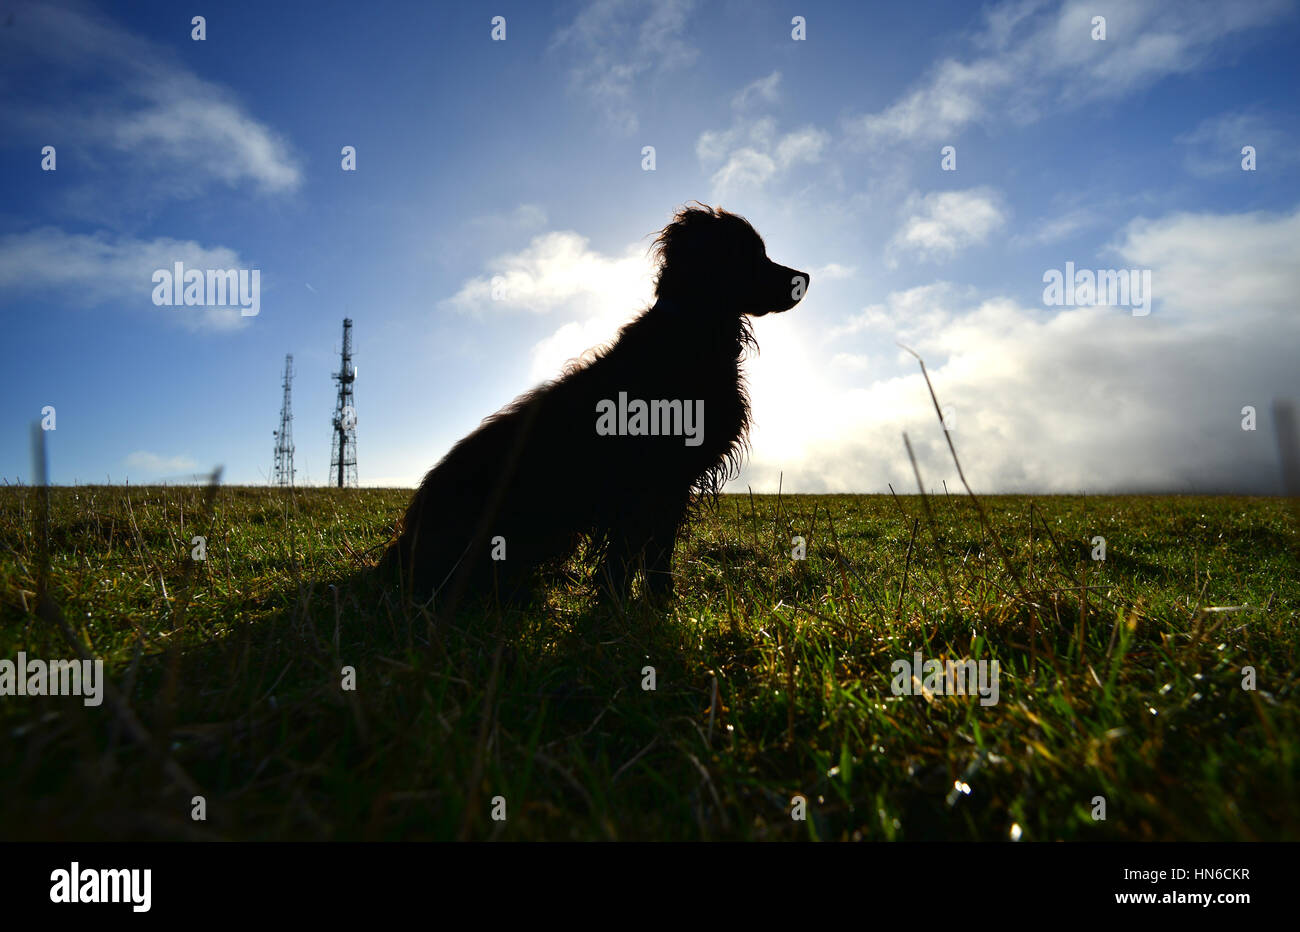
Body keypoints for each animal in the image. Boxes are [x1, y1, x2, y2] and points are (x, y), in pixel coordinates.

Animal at [377, 204, 806, 603]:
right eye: (752, 253)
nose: (806, 278)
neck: (690, 332)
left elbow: (652, 551)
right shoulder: (650, 480)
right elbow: (639, 552)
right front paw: (635, 602)